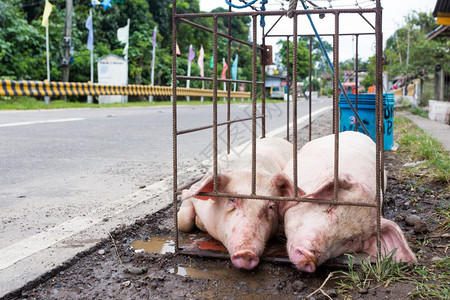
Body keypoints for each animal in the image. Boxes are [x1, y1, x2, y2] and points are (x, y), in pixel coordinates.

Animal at [178, 137, 298, 270]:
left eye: (271, 206)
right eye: (231, 200)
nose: (247, 253)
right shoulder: (193, 195)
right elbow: (183, 221)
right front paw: (198, 222)